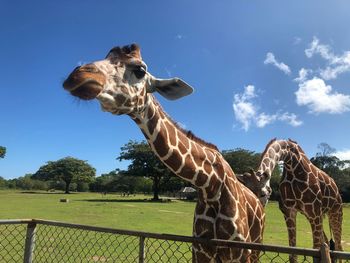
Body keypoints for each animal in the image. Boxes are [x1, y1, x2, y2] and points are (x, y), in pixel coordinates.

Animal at [63, 44, 266, 262]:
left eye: (140, 70)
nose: (77, 76)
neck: (209, 186)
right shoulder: (200, 250)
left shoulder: (239, 252)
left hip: (256, 247)